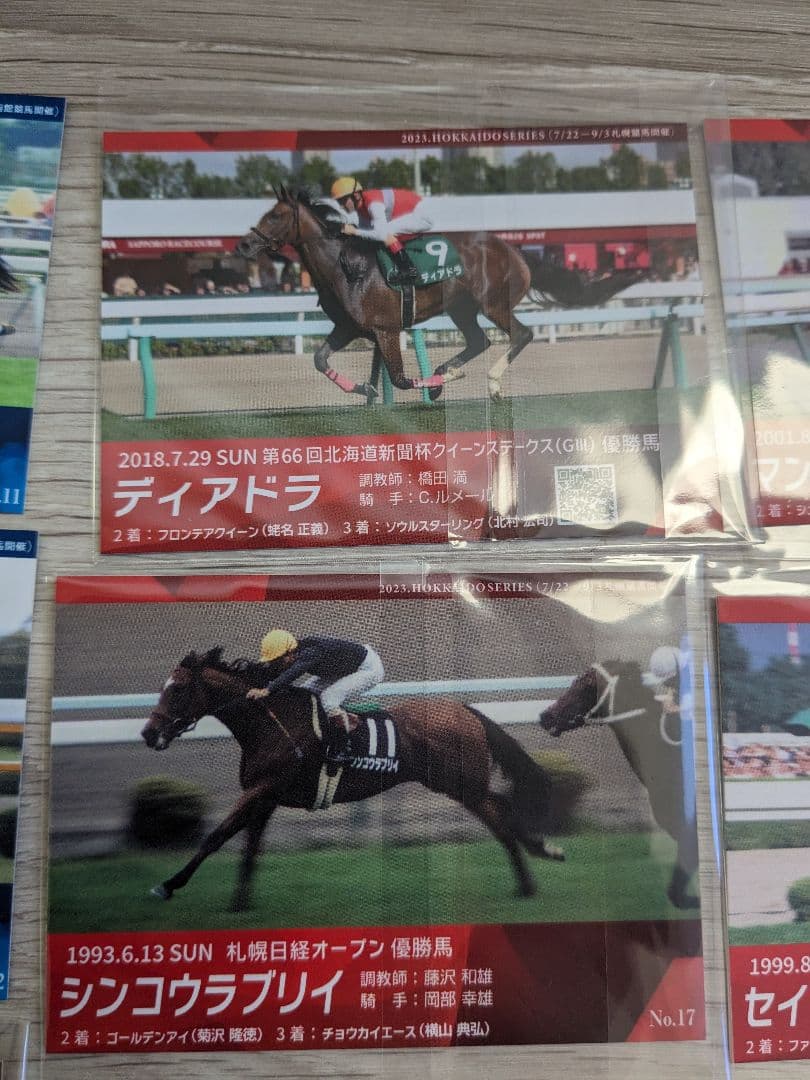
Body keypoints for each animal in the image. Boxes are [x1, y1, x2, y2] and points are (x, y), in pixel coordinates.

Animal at [140, 648, 564, 911]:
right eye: (163, 687)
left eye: (178, 688)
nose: (148, 733)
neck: (270, 724)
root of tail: (465, 710)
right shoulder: (264, 797)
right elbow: (248, 848)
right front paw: (239, 904)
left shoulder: (261, 790)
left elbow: (215, 837)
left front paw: (167, 885)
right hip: (460, 785)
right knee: (499, 814)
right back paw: (530, 872)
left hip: (461, 784)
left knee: (500, 811)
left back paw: (537, 863)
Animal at [235, 187, 643, 401]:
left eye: (275, 215)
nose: (243, 246)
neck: (344, 268)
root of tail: (514, 250)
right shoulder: (350, 328)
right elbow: (321, 361)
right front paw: (367, 390)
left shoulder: (385, 329)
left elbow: (400, 378)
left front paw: (436, 385)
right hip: (462, 308)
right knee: (479, 341)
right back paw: (448, 370)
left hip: (492, 303)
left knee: (521, 334)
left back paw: (487, 383)